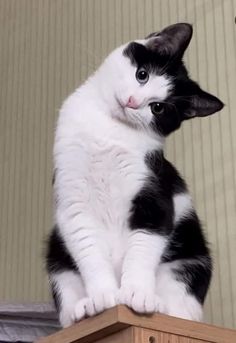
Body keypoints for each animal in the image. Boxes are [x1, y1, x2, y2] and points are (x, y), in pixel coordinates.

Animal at [45, 22, 223, 330]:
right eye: (142, 74)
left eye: (158, 107)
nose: (132, 101)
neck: (109, 130)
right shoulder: (73, 197)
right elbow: (88, 247)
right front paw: (103, 297)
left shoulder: (155, 193)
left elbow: (143, 246)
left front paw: (136, 294)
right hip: (57, 255)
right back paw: (80, 310)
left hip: (190, 260)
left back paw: (164, 306)